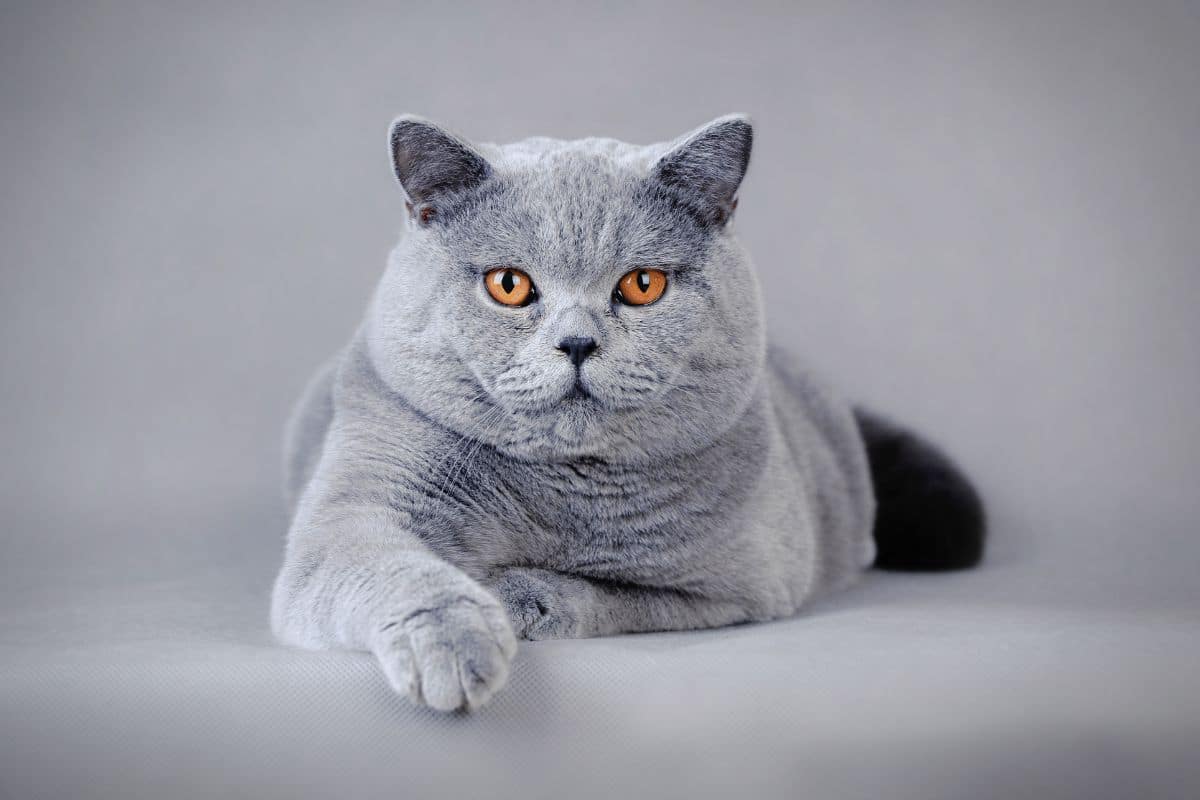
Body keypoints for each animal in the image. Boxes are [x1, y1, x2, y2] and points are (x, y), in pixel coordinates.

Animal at [270, 113, 984, 714]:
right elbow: (393, 567)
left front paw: (518, 595)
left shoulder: (743, 591)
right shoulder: (351, 518)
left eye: (643, 285)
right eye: (509, 284)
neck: (562, 494)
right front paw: (452, 643)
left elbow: (613, 595)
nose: (578, 343)